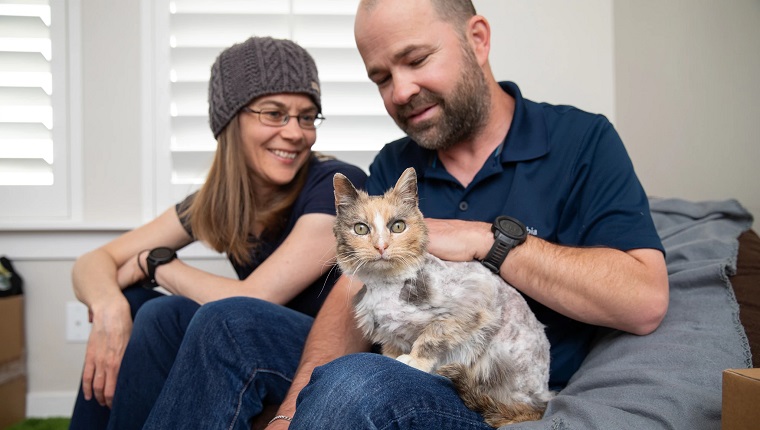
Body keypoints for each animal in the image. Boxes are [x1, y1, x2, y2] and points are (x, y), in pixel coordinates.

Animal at [332, 167, 552, 426]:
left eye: (398, 226)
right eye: (360, 229)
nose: (381, 246)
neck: (386, 286)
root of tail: (542, 403)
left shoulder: (475, 297)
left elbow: (432, 336)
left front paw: (414, 361)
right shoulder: (389, 335)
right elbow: (392, 350)